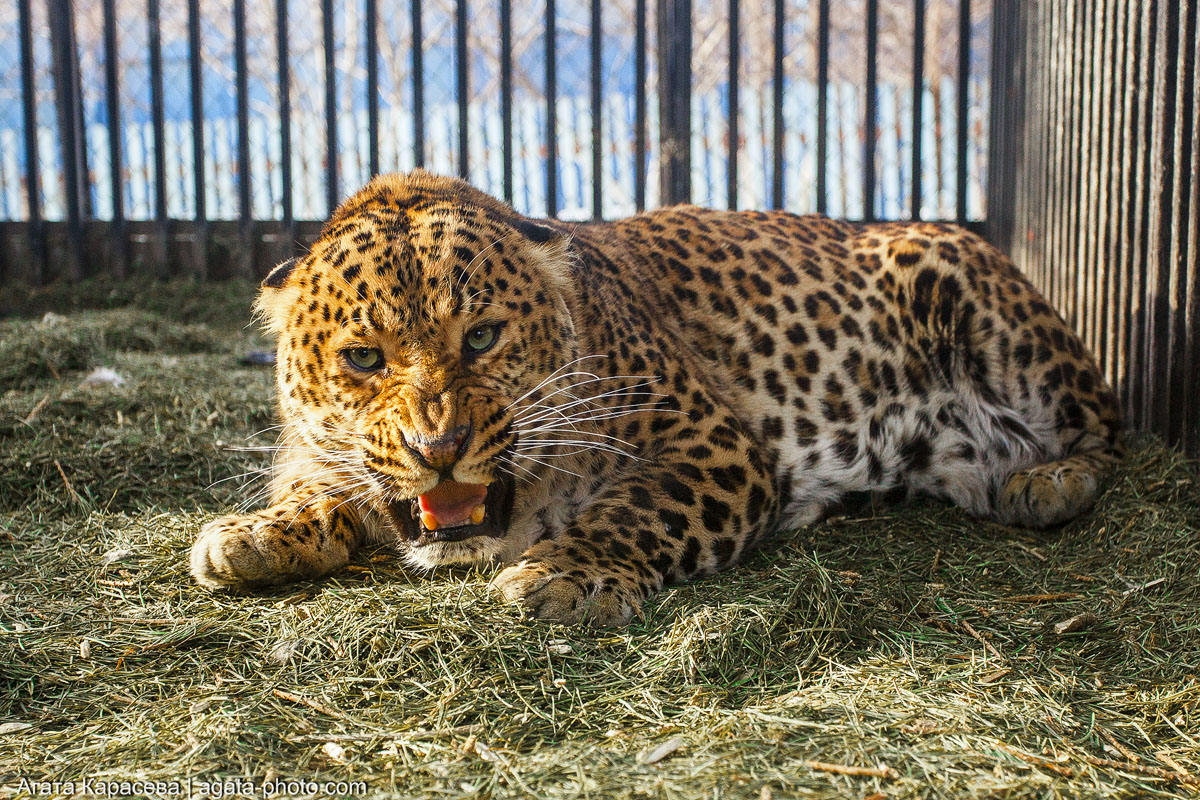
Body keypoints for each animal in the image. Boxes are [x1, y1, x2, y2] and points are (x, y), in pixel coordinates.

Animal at [189, 172, 1123, 628]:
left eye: (482, 338)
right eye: (362, 358)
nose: (439, 449)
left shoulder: (710, 443)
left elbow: (638, 510)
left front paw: (563, 576)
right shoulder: (315, 451)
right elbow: (313, 484)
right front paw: (253, 536)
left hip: (975, 290)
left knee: (1106, 425)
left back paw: (1048, 482)